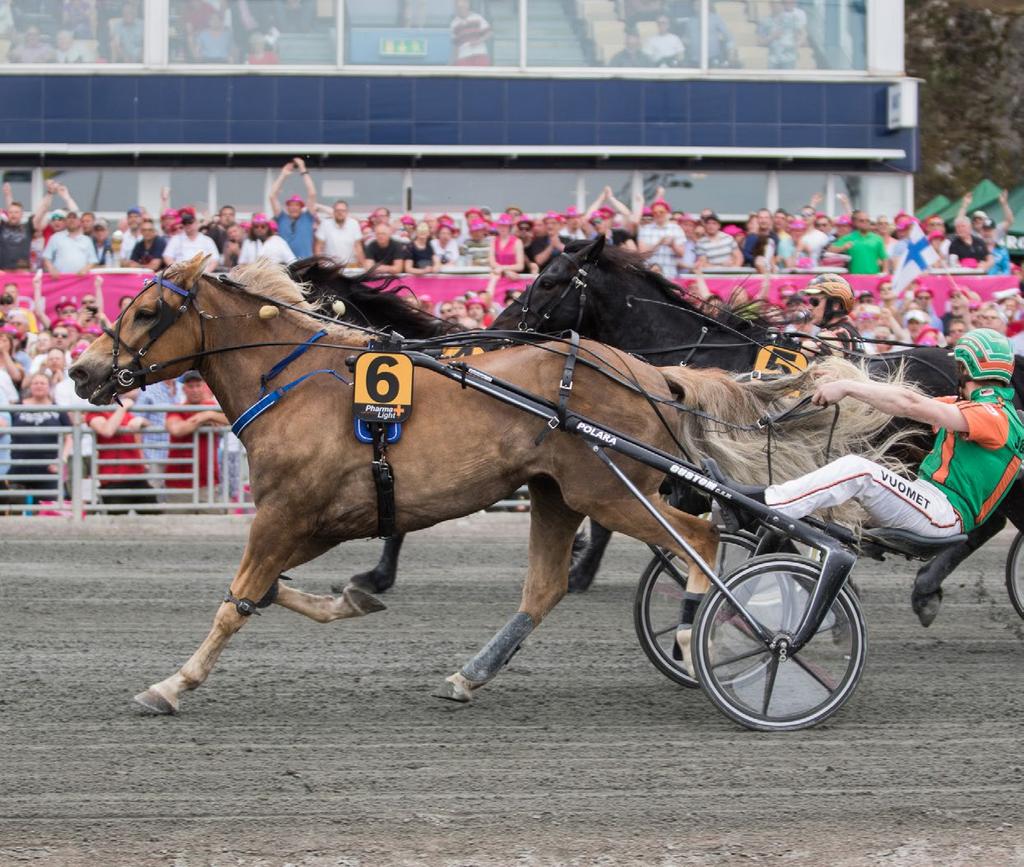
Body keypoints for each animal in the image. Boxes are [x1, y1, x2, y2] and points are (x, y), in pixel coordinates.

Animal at [68, 253, 905, 716]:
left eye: (146, 310)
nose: (80, 371)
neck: (296, 378)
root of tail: (650, 372)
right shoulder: (314, 518)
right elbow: (271, 591)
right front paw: (355, 596)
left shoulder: (285, 512)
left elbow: (238, 599)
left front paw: (172, 683)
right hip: (557, 494)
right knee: (544, 589)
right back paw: (471, 674)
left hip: (607, 489)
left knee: (700, 540)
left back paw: (719, 633)